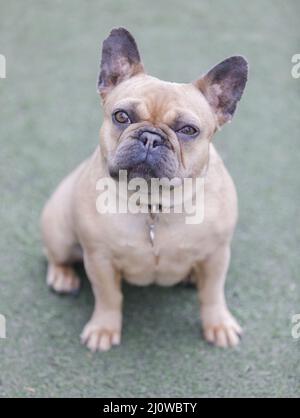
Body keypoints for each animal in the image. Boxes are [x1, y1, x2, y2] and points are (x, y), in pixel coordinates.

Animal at [40, 27, 248, 352]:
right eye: (122, 116)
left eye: (188, 130)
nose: (151, 137)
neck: (154, 204)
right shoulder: (99, 259)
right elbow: (108, 296)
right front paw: (103, 328)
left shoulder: (217, 255)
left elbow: (212, 294)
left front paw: (218, 324)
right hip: (59, 230)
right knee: (54, 254)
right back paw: (62, 277)